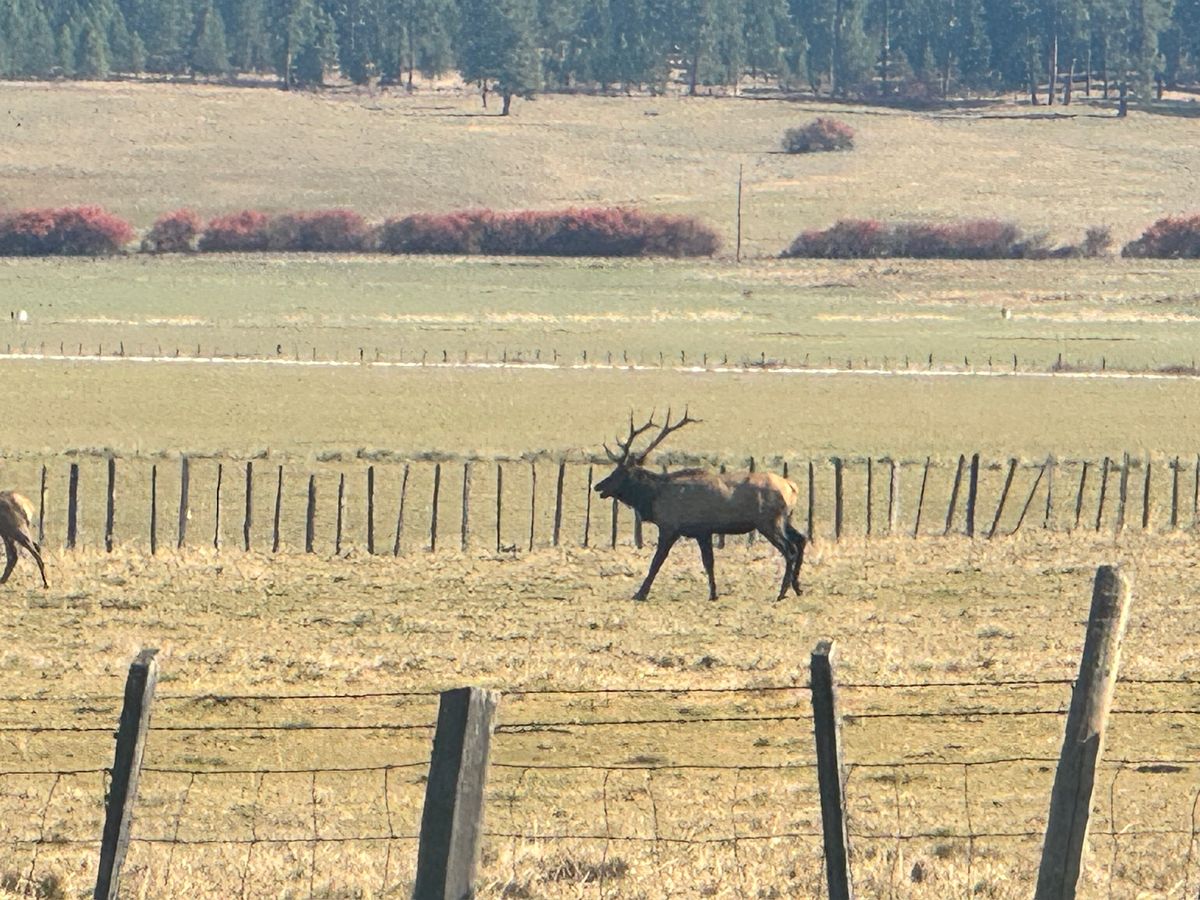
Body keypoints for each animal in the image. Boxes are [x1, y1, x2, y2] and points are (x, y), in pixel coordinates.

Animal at [594, 409, 806, 602]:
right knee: (801, 539)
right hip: (784, 519)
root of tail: (791, 487)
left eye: (618, 473)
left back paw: (782, 592)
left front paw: (640, 594)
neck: (653, 496)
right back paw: (797, 587)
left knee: (790, 550)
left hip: (769, 522)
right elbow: (709, 562)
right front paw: (713, 594)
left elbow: (657, 562)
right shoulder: (703, 531)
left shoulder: (670, 527)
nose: (598, 486)